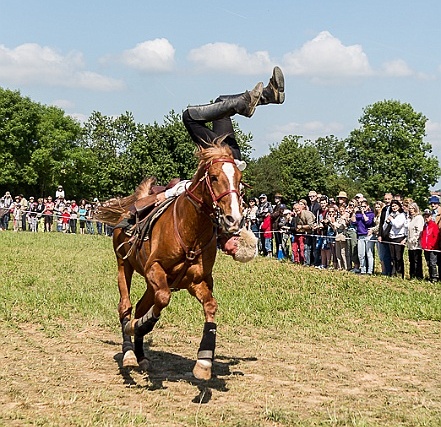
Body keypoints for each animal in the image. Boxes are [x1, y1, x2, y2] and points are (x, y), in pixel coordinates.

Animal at [95, 141, 244, 382]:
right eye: (213, 177)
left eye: (239, 179)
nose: (234, 218)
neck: (190, 228)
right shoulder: (154, 269)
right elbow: (163, 299)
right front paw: (139, 327)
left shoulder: (196, 281)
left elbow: (210, 306)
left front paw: (204, 362)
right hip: (124, 266)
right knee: (125, 307)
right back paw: (129, 352)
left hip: (149, 283)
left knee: (140, 307)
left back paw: (140, 354)